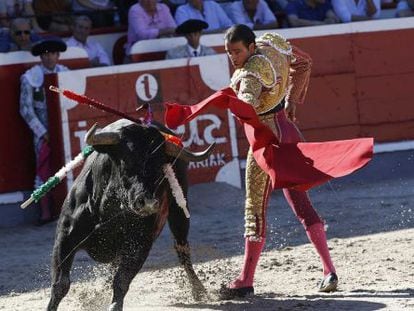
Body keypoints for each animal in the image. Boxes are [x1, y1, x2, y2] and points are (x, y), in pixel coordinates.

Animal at [48, 118, 215, 310]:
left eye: (160, 166)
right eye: (126, 161)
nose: (147, 203)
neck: (108, 210)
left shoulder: (139, 245)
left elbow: (121, 281)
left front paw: (114, 305)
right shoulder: (65, 237)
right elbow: (61, 284)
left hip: (179, 213)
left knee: (182, 250)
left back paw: (198, 290)